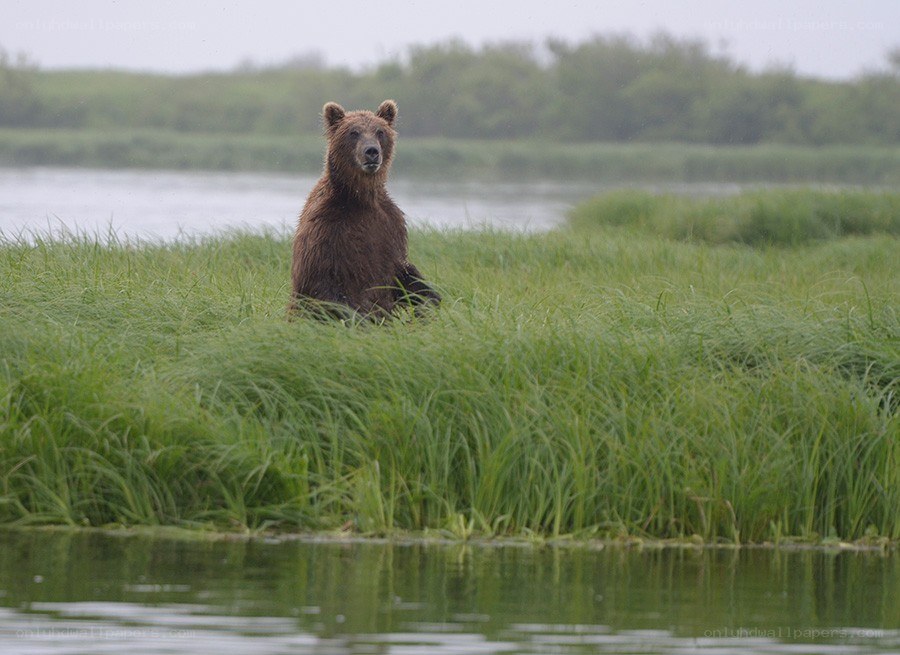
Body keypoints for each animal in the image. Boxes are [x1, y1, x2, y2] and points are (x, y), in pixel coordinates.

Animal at [290, 99, 441, 319]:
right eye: (354, 132)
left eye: (380, 131)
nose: (372, 151)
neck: (359, 198)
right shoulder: (326, 226)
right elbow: (320, 279)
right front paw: (360, 317)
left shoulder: (390, 226)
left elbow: (402, 272)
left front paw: (430, 300)